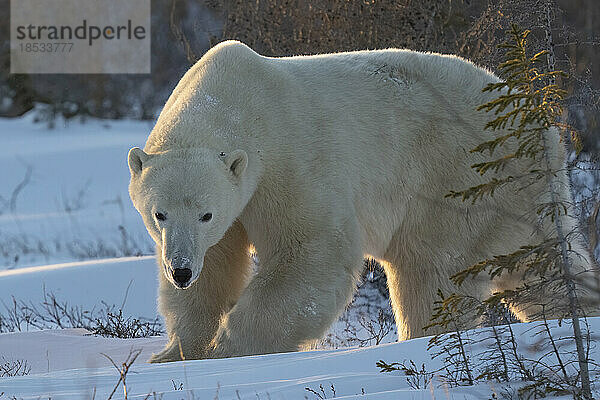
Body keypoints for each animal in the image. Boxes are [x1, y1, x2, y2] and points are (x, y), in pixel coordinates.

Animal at [129, 41, 596, 362]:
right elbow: (216, 268)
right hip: (518, 194)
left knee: (431, 272)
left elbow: (312, 252)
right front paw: (173, 353)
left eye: (206, 213)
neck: (232, 97)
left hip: (455, 180)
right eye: (159, 214)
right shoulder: (226, 214)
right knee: (544, 264)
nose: (180, 270)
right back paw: (580, 312)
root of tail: (542, 128)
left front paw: (229, 347)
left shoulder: (289, 162)